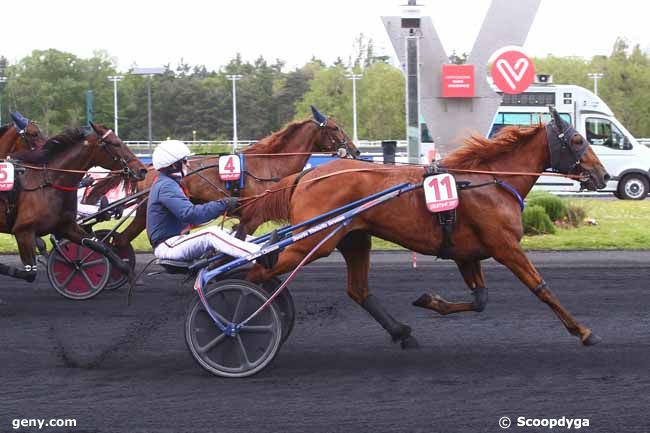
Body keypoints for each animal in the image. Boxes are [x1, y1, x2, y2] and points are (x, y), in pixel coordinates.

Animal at [0, 123, 147, 282]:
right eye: (115, 143)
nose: (142, 170)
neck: (48, 182)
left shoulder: (67, 227)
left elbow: (99, 246)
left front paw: (126, 270)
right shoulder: (23, 232)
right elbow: (30, 273)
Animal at [242, 108, 608, 348]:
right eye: (577, 139)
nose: (603, 175)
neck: (491, 181)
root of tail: (306, 175)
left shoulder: (467, 254)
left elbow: (480, 300)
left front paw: (429, 300)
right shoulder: (505, 247)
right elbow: (541, 288)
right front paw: (583, 331)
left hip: (354, 239)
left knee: (358, 290)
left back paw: (401, 332)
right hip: (313, 242)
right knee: (256, 272)